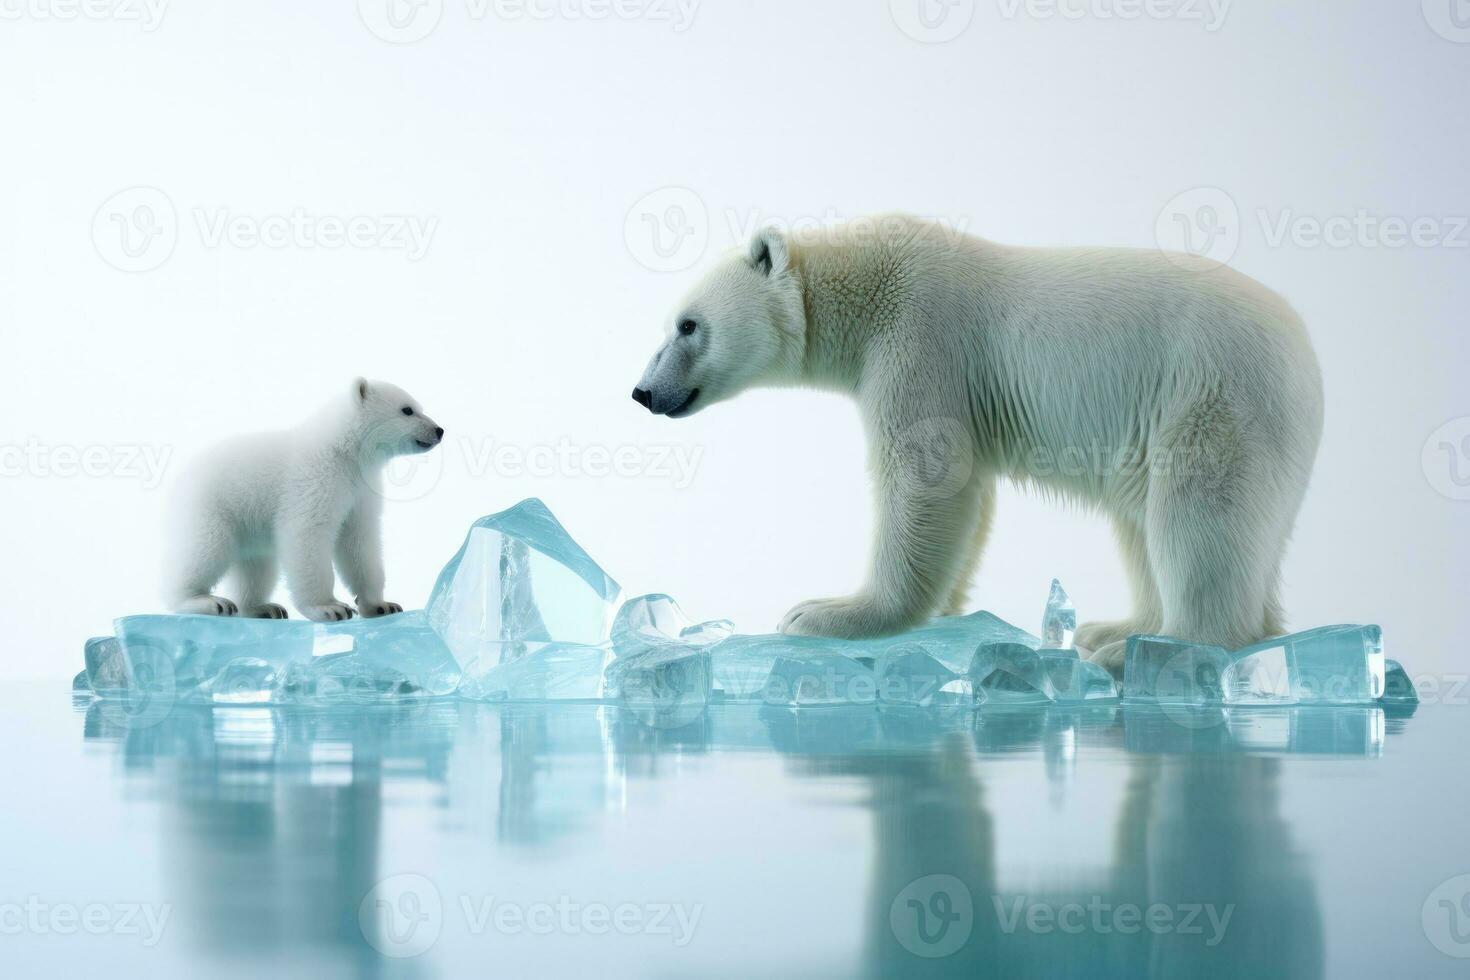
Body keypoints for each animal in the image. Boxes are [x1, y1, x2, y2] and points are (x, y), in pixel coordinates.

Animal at [629, 215, 1323, 669]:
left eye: (688, 324)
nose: (642, 392)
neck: (868, 282)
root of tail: (1308, 359)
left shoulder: (920, 338)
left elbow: (925, 474)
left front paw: (826, 613)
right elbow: (968, 498)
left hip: (1213, 396)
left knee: (1199, 515)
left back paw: (1149, 649)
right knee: (1146, 525)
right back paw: (1114, 629)